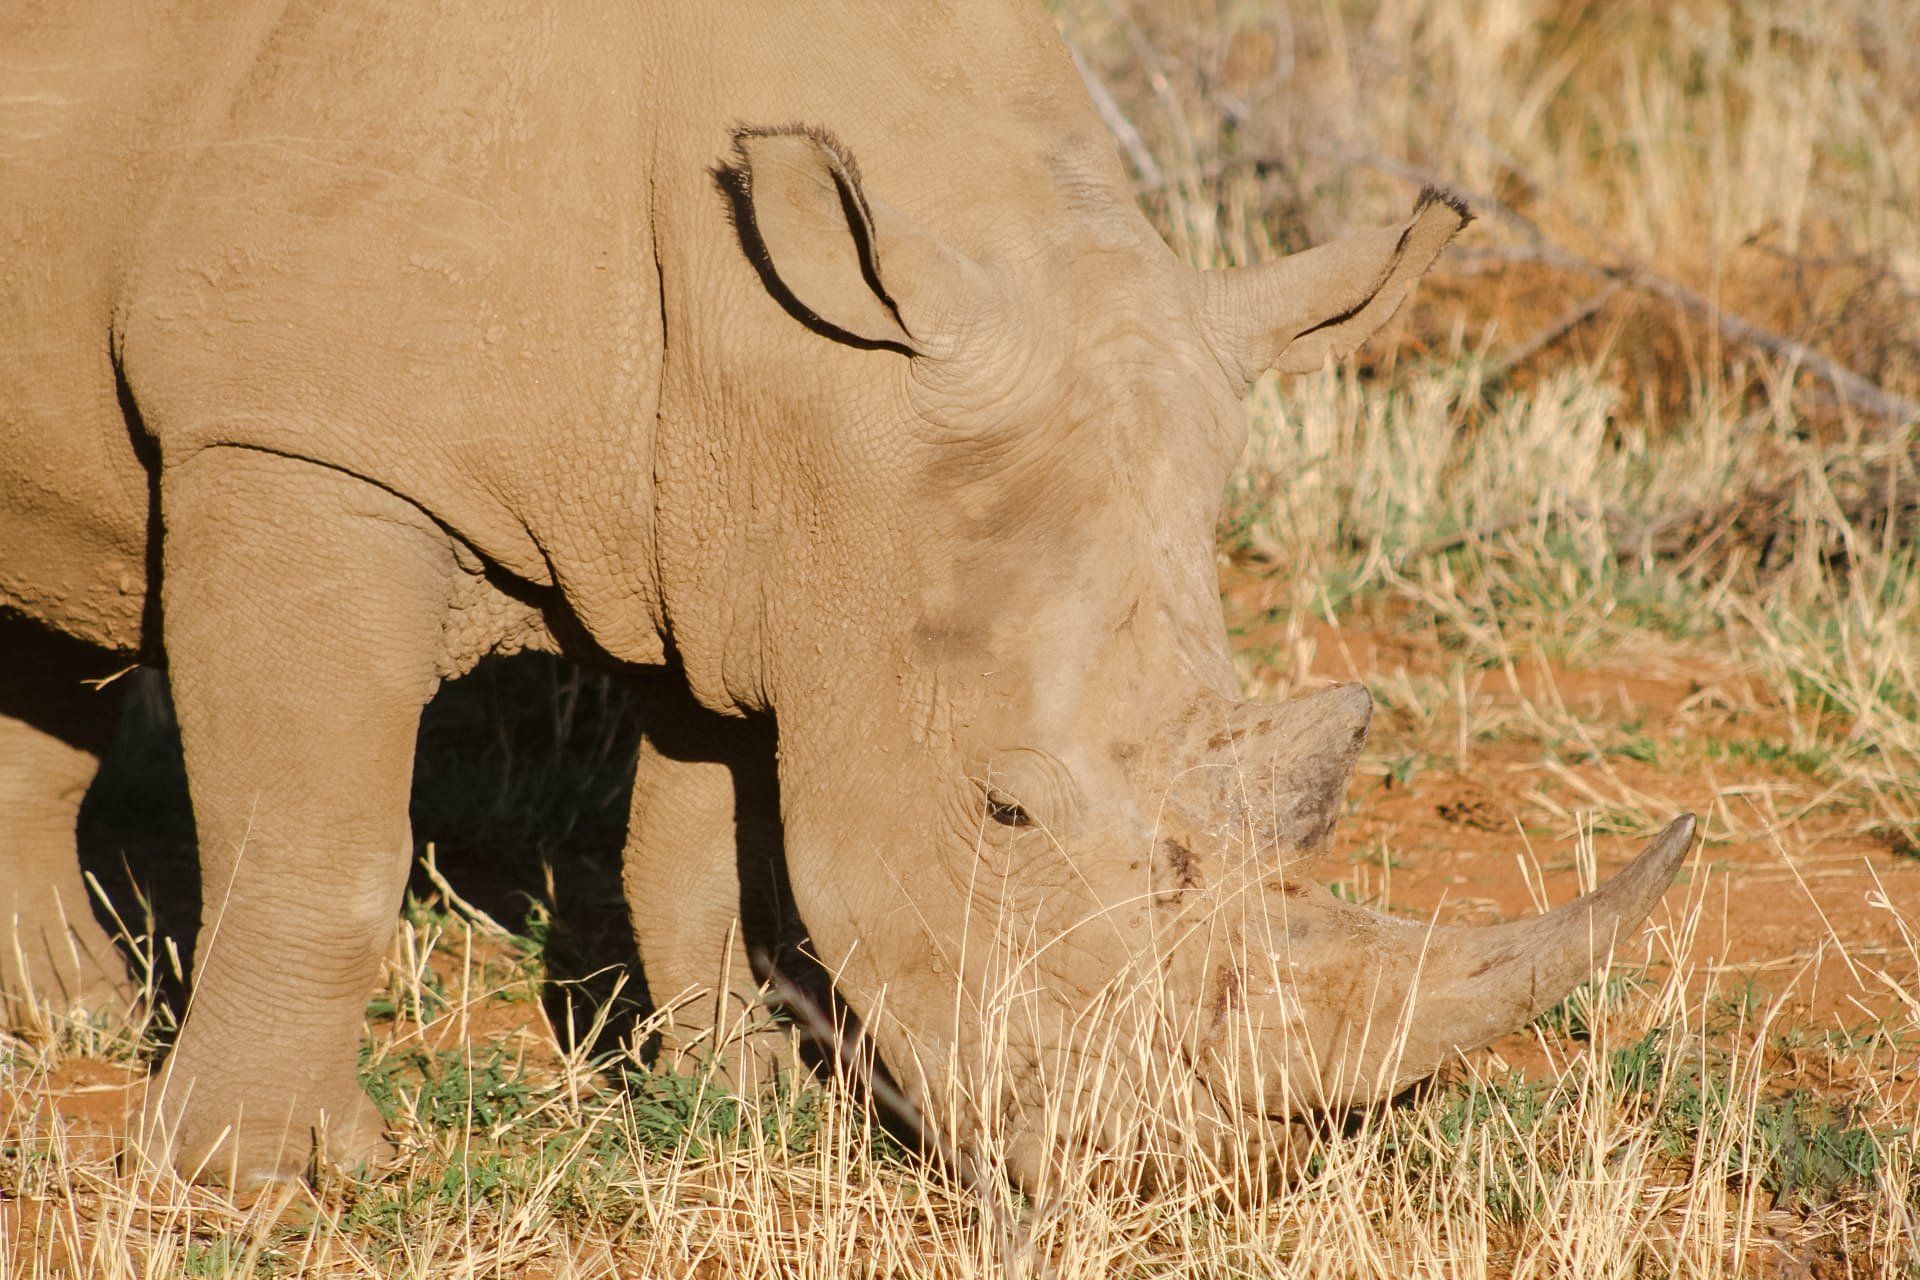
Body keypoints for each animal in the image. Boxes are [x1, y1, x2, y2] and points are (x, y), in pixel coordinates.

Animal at [0, 2, 1692, 1190]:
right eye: (1005, 812)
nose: (1195, 1172)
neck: (787, 368)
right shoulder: (298, 438)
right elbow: (324, 830)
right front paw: (267, 1177)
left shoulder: (746, 528)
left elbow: (706, 839)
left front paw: (742, 1099)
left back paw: (63, 1014)